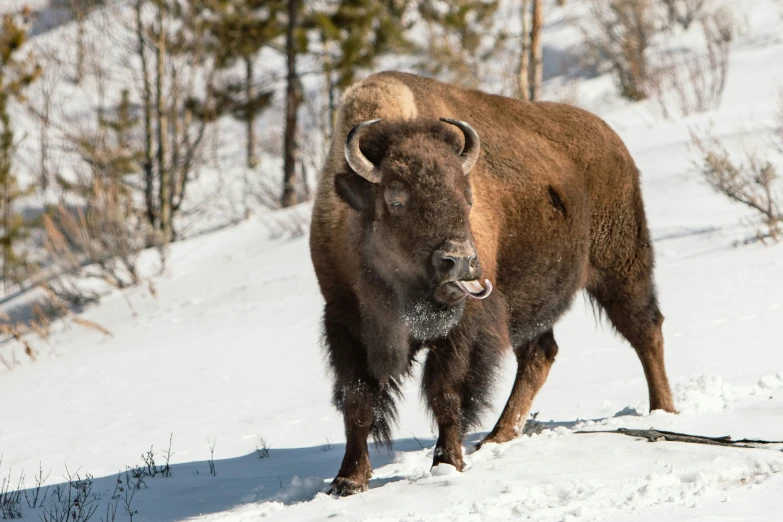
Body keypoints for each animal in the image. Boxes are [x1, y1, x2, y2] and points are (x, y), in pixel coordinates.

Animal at [310, 71, 676, 494]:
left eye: (467, 197)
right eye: (396, 200)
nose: (461, 261)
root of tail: (610, 138)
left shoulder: (463, 331)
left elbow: (446, 393)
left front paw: (447, 463)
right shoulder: (345, 324)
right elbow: (358, 402)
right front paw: (347, 481)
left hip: (620, 268)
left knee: (645, 330)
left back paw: (663, 411)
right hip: (534, 300)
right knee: (540, 354)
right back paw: (498, 436)